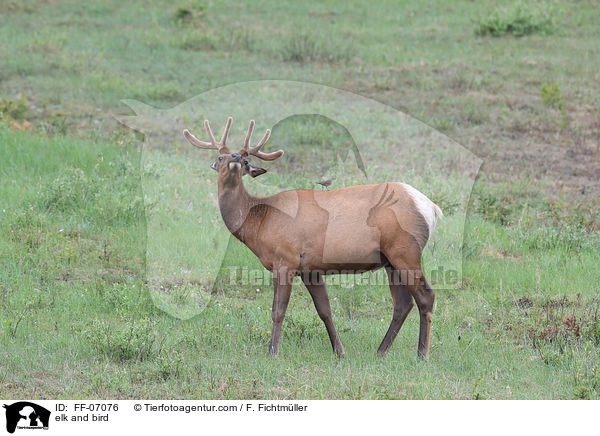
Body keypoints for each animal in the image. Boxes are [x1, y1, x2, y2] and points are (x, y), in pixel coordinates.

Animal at [183, 116, 440, 358]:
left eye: (246, 161)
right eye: (220, 158)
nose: (236, 157)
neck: (258, 221)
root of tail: (431, 208)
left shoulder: (285, 258)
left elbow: (278, 311)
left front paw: (272, 351)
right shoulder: (310, 269)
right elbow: (324, 310)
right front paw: (339, 351)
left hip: (404, 250)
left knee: (425, 296)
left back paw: (422, 354)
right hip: (389, 260)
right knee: (403, 303)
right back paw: (381, 351)